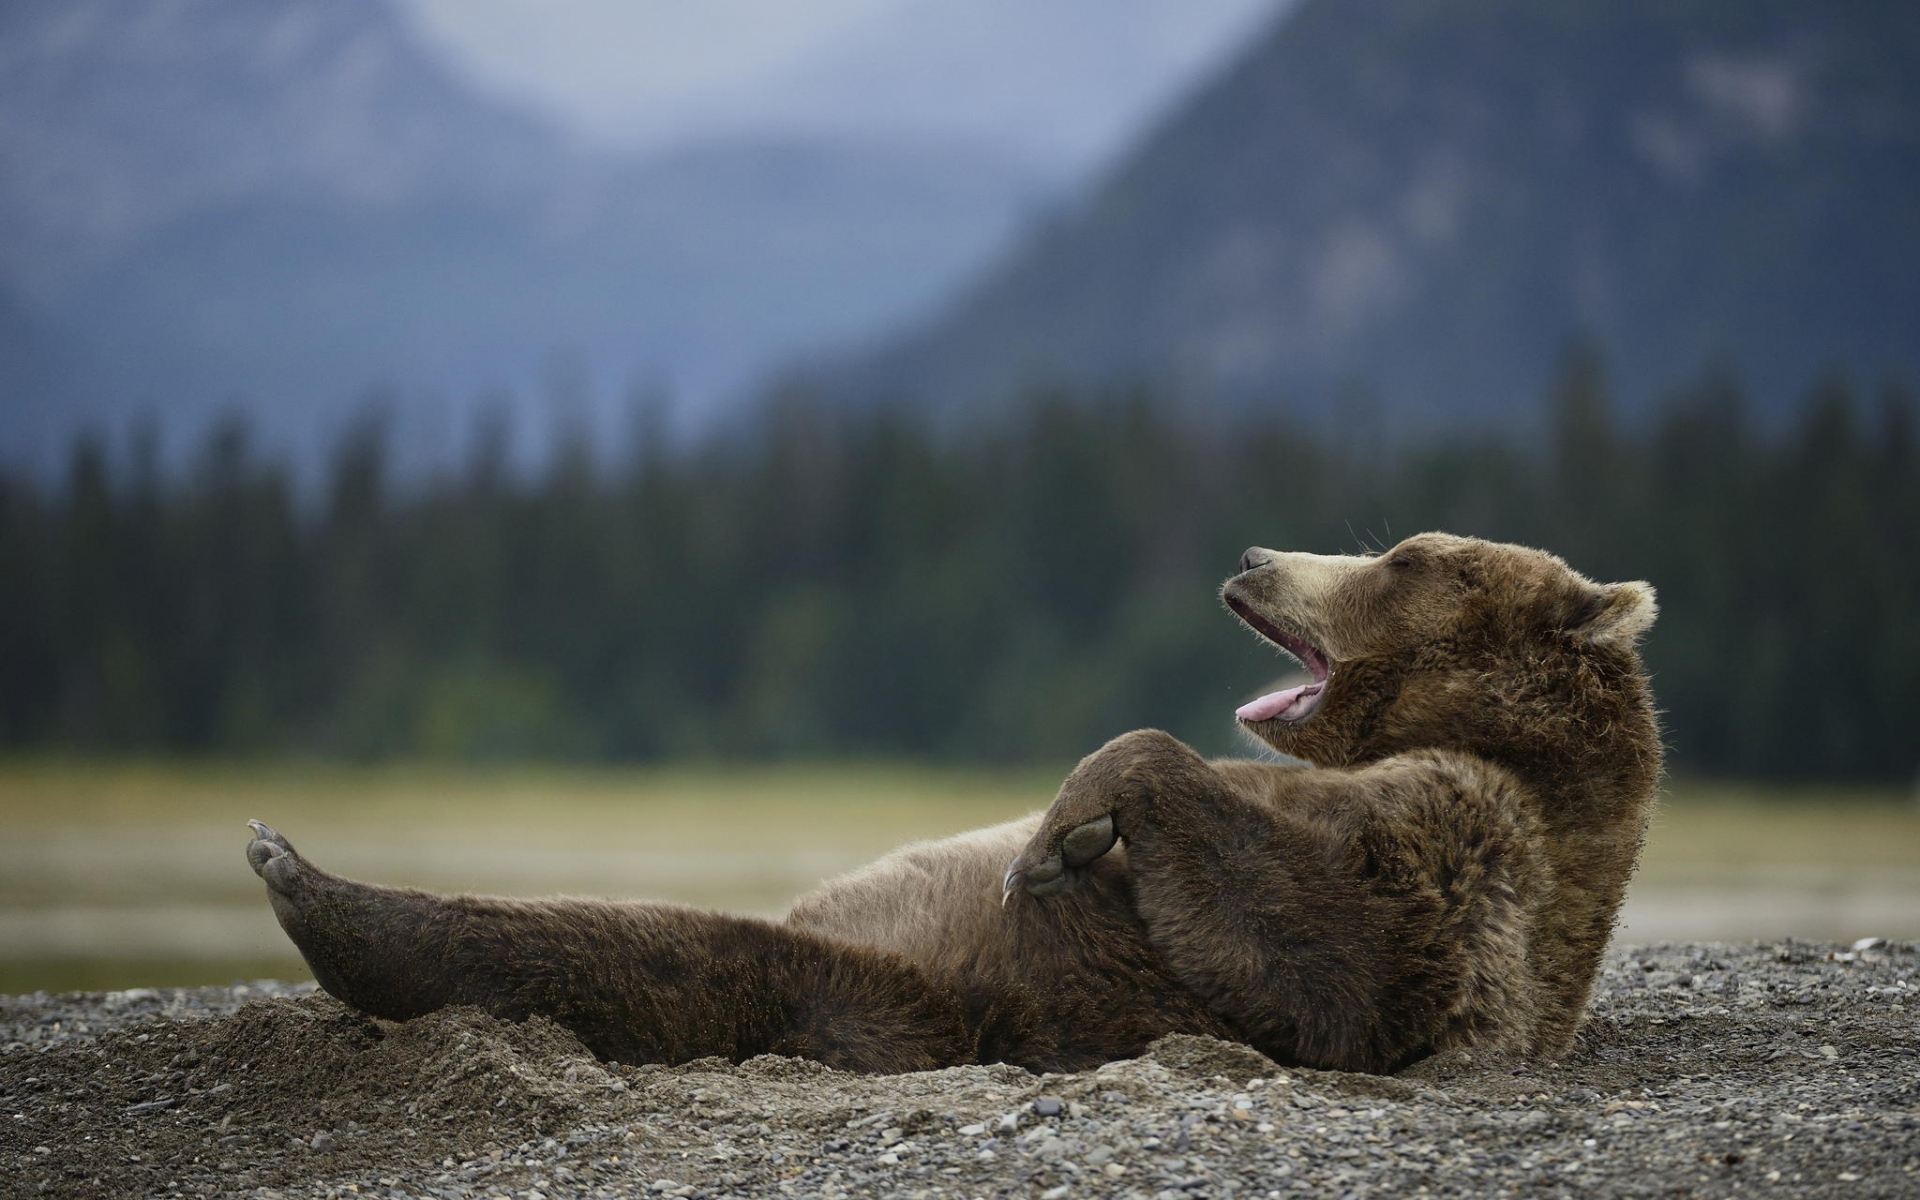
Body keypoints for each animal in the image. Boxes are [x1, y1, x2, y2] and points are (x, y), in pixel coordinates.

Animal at [245, 531, 1660, 1075]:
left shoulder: (1467, 865)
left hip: (910, 986)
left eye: (1404, 556)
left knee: (664, 952)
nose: (1257, 555)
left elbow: (1319, 957)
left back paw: (310, 881)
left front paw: (1064, 826)